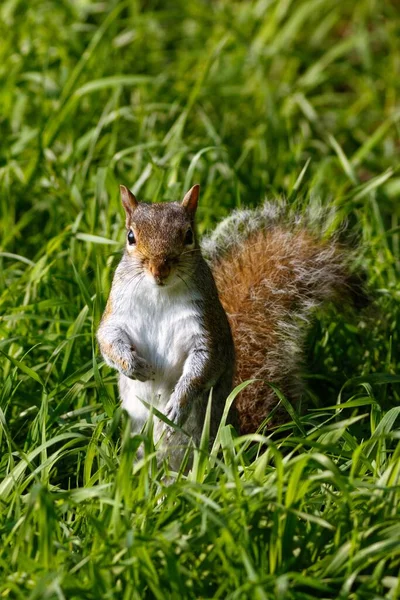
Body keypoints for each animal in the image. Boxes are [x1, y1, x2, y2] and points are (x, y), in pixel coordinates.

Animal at [97, 185, 362, 466]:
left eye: (188, 235)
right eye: (131, 237)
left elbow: (204, 365)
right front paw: (133, 365)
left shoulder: (205, 327)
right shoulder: (117, 312)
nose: (160, 270)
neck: (160, 293)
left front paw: (177, 405)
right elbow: (107, 339)